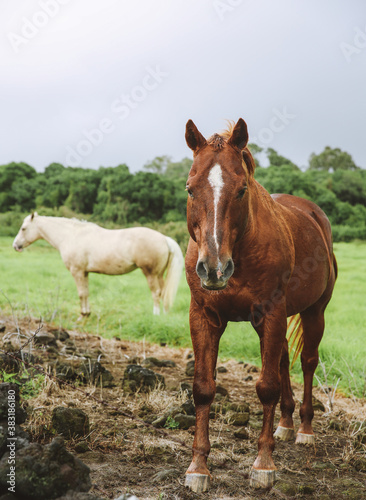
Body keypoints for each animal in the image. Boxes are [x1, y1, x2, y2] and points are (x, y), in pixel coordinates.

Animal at [12, 212, 184, 316]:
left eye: (24, 228)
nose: (15, 246)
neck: (71, 236)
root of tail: (164, 238)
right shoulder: (85, 272)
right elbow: (86, 292)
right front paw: (87, 313)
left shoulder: (77, 271)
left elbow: (81, 293)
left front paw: (83, 315)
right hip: (159, 274)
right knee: (163, 293)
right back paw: (165, 315)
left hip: (150, 274)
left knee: (156, 293)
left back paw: (156, 315)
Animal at [184, 119, 336, 490]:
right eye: (191, 189)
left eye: (241, 190)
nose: (214, 268)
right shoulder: (204, 316)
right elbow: (203, 388)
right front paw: (198, 467)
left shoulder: (271, 314)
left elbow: (266, 387)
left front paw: (263, 465)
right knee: (282, 361)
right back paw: (285, 425)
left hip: (314, 312)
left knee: (307, 362)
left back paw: (304, 429)